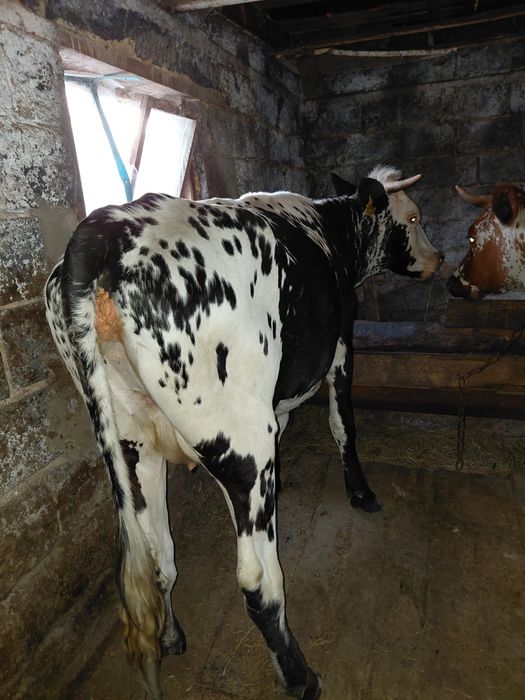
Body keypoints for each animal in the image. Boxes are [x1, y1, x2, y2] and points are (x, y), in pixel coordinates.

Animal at [44, 165, 442, 699]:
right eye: (413, 216)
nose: (439, 259)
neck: (331, 232)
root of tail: (104, 229)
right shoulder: (341, 346)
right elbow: (343, 425)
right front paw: (360, 492)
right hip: (243, 442)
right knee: (258, 581)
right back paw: (299, 676)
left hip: (133, 444)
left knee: (158, 557)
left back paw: (171, 637)